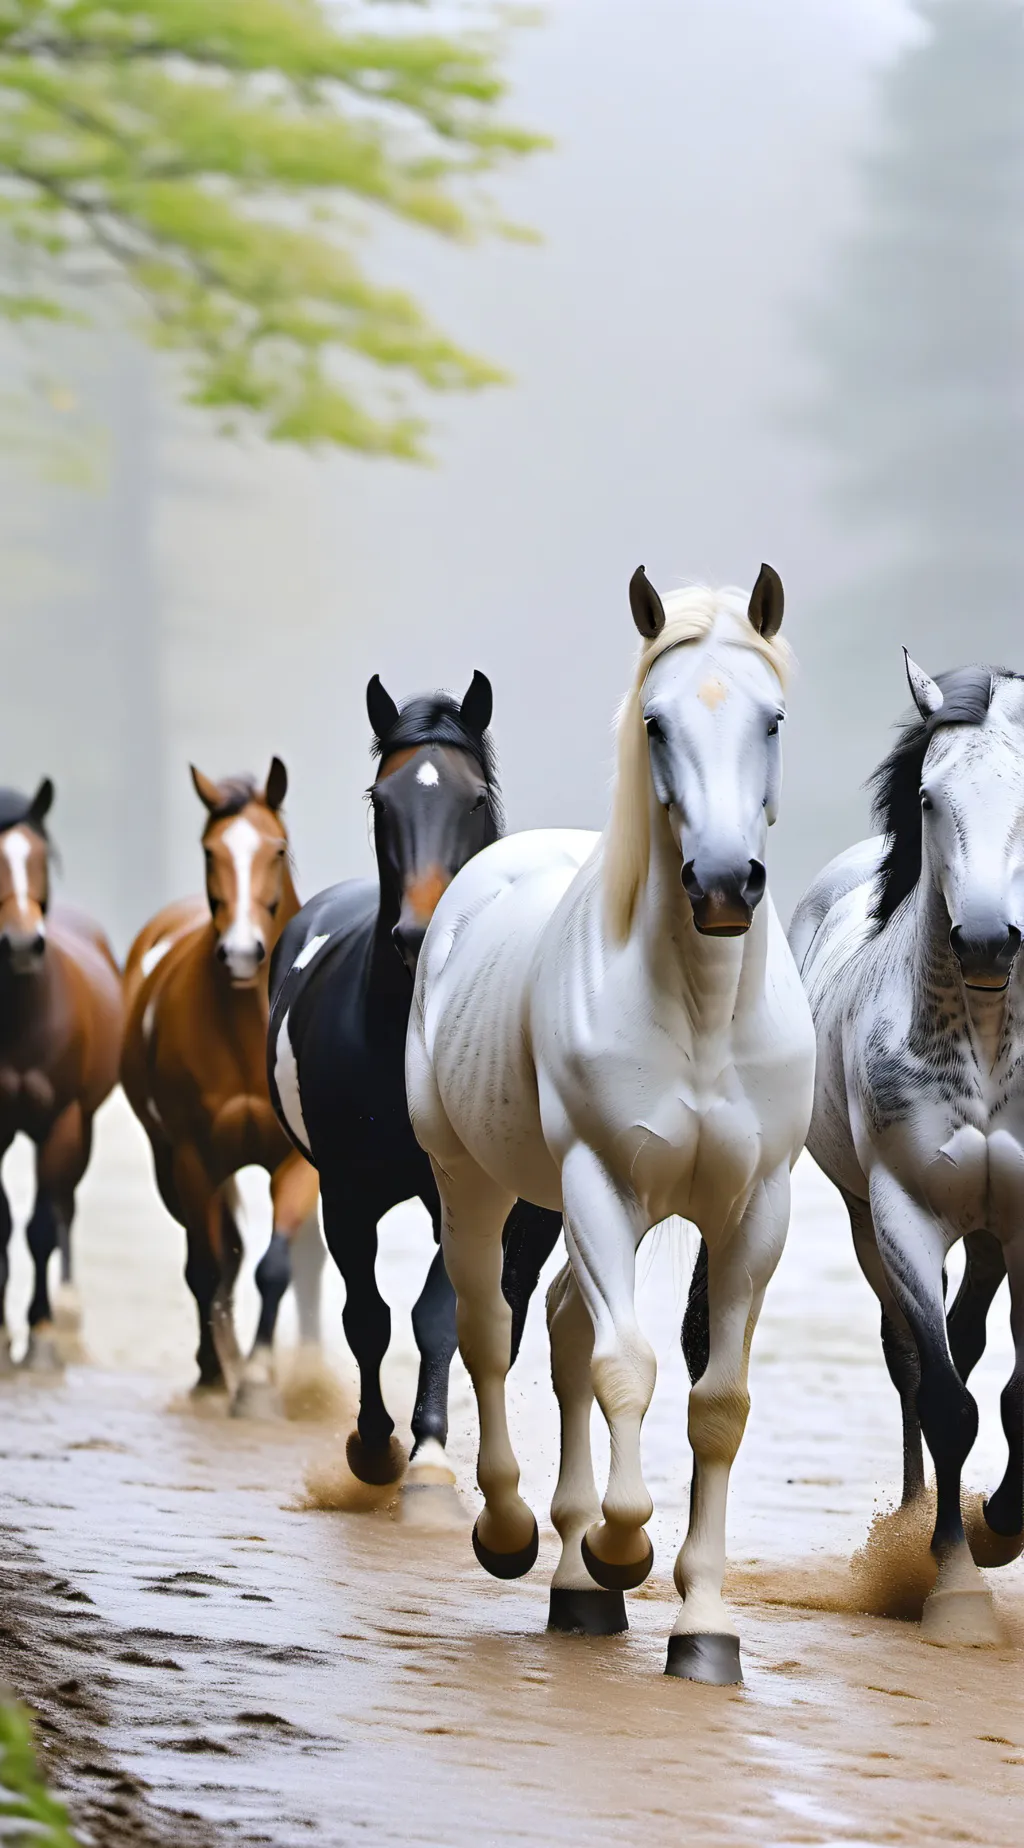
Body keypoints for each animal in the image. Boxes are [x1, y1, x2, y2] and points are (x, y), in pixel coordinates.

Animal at [122, 759, 325, 1414]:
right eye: (209, 850)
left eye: (276, 848)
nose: (240, 952)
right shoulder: (191, 1157)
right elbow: (208, 1265)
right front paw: (217, 1375)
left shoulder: (297, 1161)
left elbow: (276, 1266)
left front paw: (258, 1378)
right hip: (171, 1165)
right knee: (212, 1256)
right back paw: (218, 1361)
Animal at [268, 673, 562, 1506]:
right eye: (382, 798)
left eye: (472, 798)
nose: (418, 932)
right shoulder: (345, 1189)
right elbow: (366, 1315)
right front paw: (373, 1445)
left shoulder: (471, 1192)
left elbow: (442, 1313)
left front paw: (429, 1454)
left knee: (505, 1309)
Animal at [407, 567, 815, 1681]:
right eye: (655, 721)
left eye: (771, 718)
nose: (722, 882)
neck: (702, 1016)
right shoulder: (599, 1180)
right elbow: (625, 1366)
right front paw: (622, 1545)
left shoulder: (753, 1214)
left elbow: (717, 1404)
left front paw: (702, 1623)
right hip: (479, 1183)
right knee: (492, 1329)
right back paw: (522, 1538)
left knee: (560, 1327)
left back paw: (577, 1582)